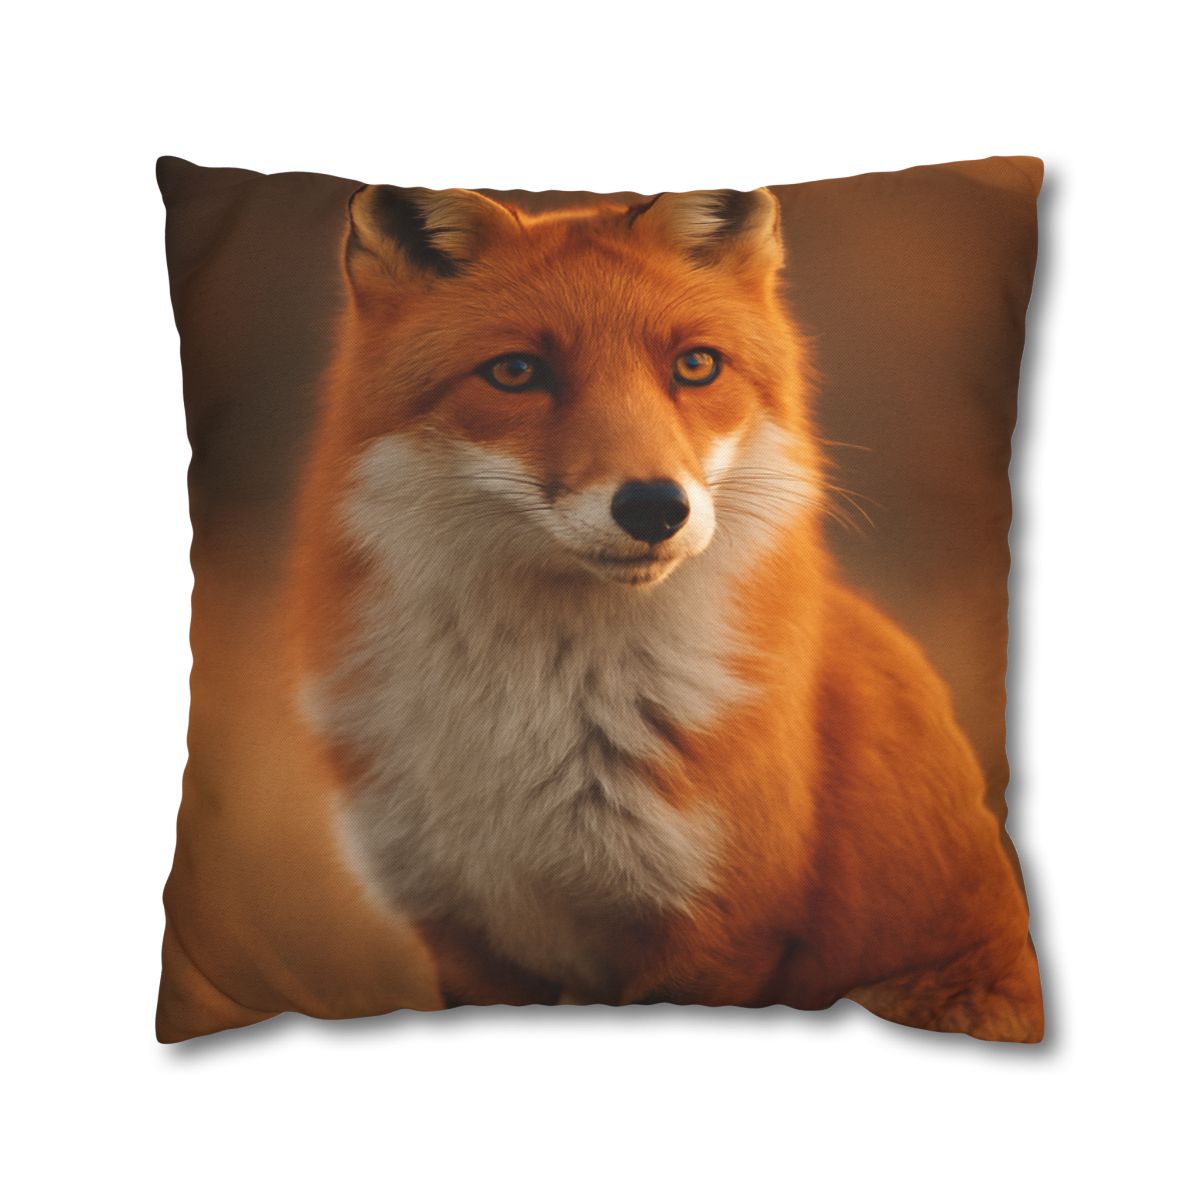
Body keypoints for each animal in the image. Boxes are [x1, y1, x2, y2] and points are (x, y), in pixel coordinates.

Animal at [289, 183, 1043, 1041]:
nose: (654, 507)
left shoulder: (722, 934)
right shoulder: (465, 939)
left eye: (695, 364)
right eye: (515, 371)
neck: (534, 717)